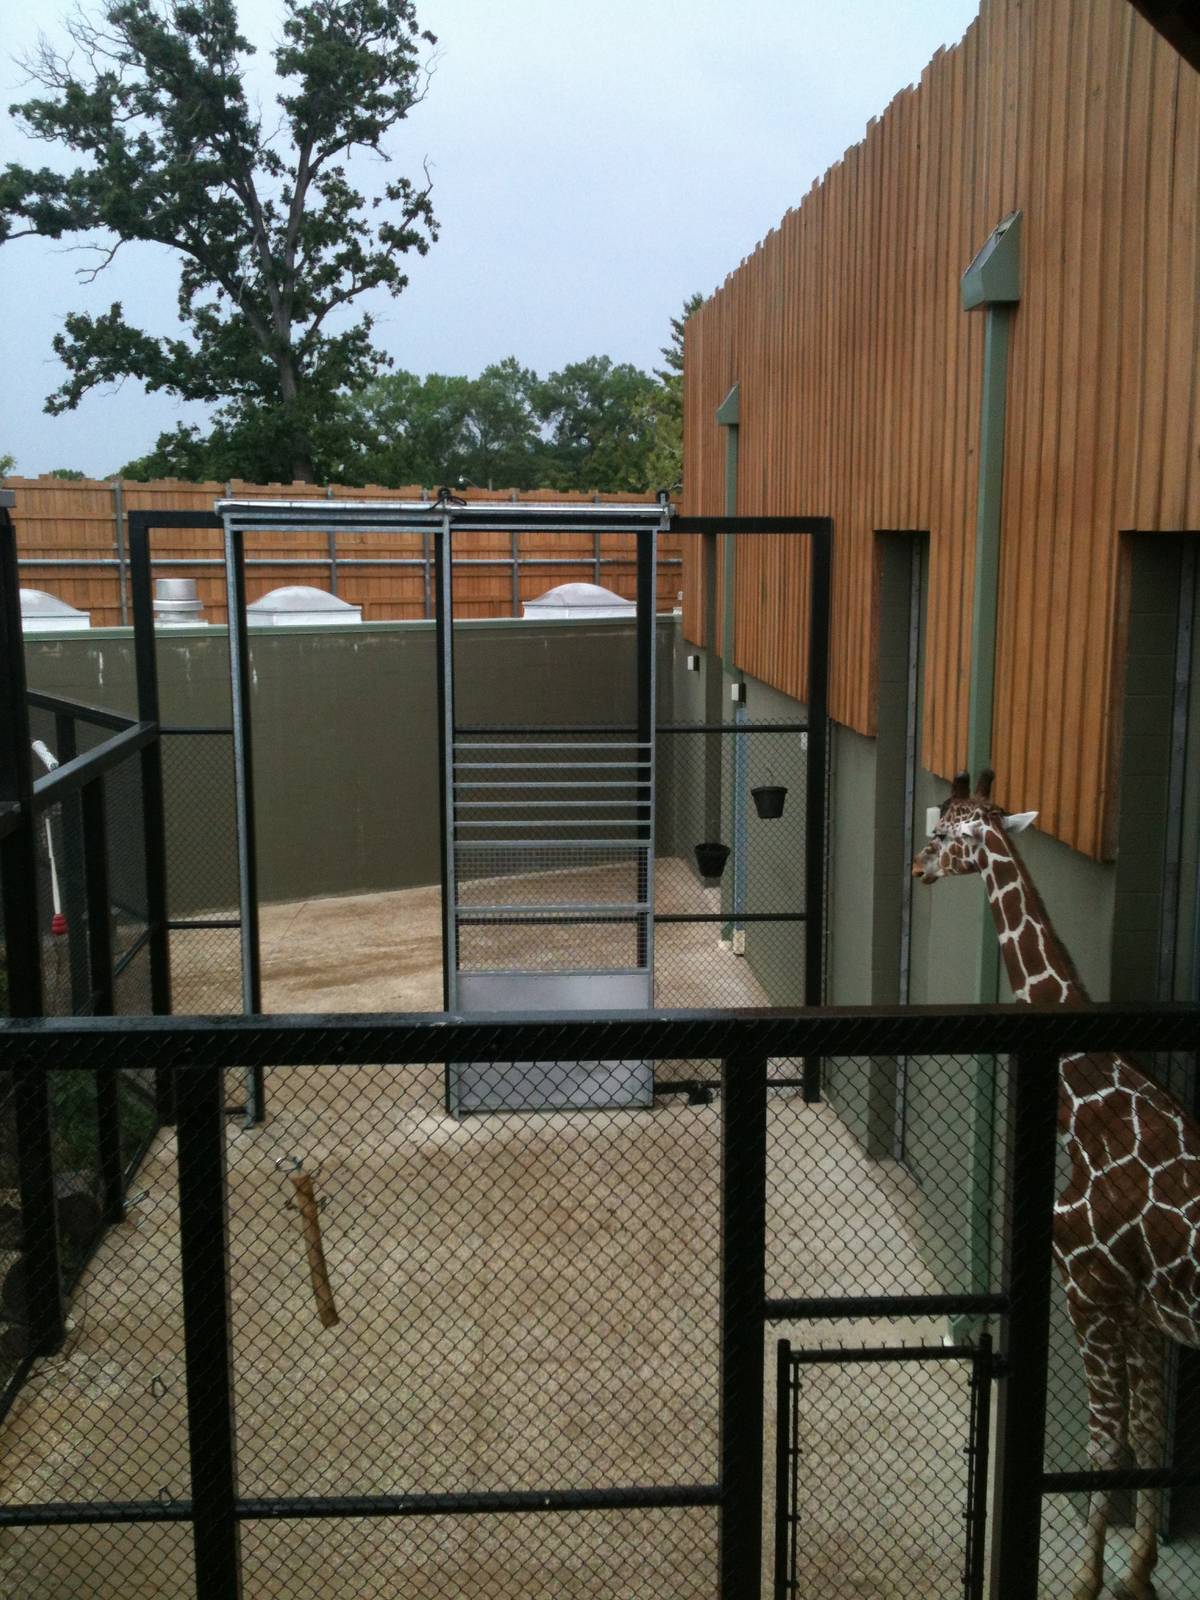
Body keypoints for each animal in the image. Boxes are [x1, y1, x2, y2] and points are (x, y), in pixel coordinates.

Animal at [911, 770, 1200, 1600]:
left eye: (944, 833)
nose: (917, 868)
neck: (1092, 1094)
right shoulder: (1143, 1309)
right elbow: (1146, 1434)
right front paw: (1137, 1575)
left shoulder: (1088, 1290)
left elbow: (1105, 1444)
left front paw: (1086, 1580)